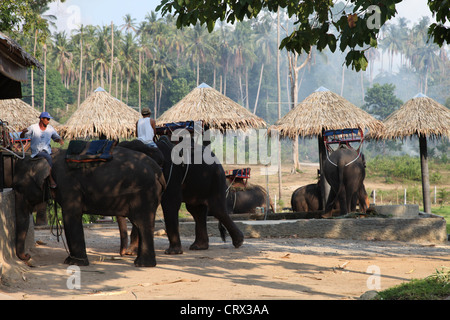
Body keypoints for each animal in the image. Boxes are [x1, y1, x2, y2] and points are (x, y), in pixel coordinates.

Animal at [13, 146, 166, 266]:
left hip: (145, 193)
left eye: (19, 187)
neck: (50, 156)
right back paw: (140, 262)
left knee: (142, 223)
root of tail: (158, 171)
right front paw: (72, 261)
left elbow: (70, 216)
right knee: (141, 224)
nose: (28, 257)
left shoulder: (69, 185)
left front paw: (74, 263)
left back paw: (142, 264)